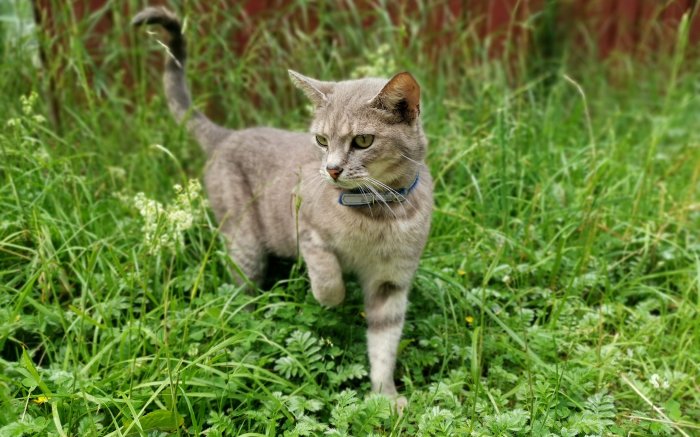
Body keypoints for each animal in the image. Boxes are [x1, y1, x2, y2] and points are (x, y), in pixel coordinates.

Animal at [131, 5, 432, 406]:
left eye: (363, 141)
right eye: (321, 140)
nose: (331, 169)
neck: (378, 212)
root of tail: (228, 135)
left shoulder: (391, 280)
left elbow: (384, 344)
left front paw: (386, 397)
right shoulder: (306, 228)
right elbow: (328, 278)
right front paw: (333, 297)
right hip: (244, 245)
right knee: (241, 296)